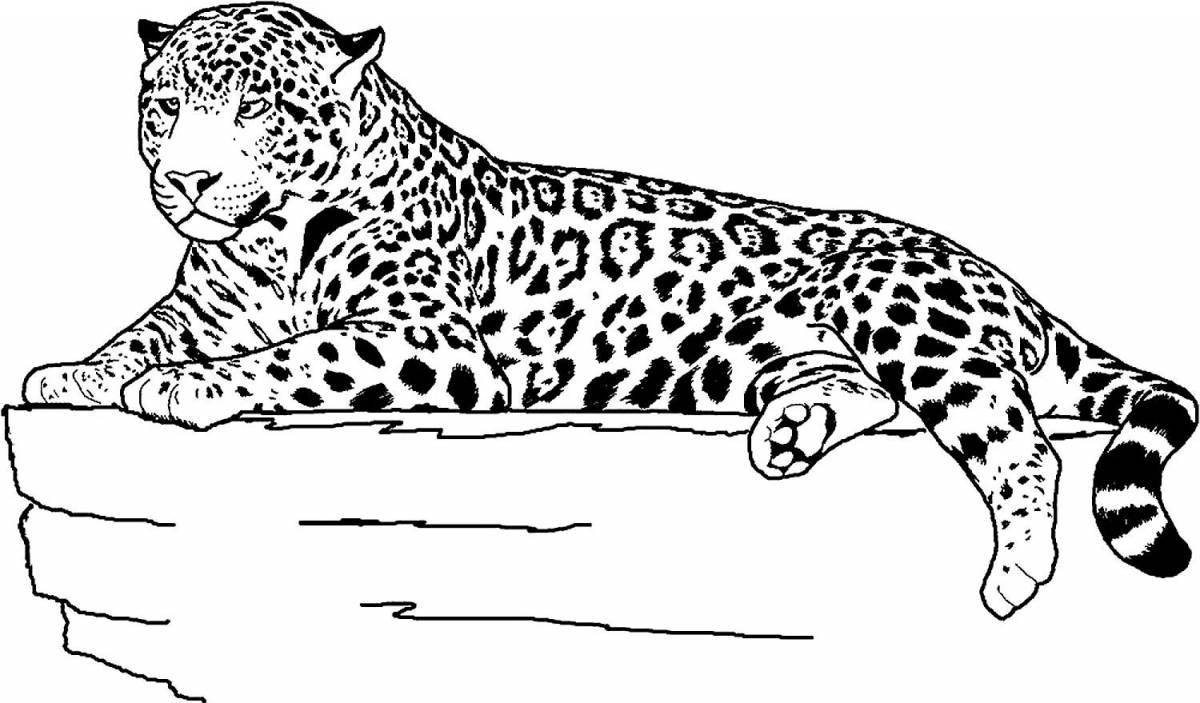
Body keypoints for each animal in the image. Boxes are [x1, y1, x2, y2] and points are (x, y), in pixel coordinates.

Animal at [22, 2, 1196, 620]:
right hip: (796, 350)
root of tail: (1005, 278)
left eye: (259, 108)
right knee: (873, 395)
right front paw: (71, 372)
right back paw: (791, 431)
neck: (266, 244)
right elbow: (138, 332)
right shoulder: (205, 300)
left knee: (1014, 437)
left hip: (900, 307)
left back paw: (1016, 570)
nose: (185, 179)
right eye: (165, 107)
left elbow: (296, 357)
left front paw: (183, 388)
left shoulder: (435, 346)